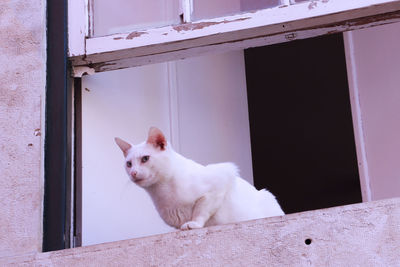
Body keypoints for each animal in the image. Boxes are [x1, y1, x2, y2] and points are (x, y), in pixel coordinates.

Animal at [115, 127, 284, 230]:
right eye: (129, 164)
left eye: (145, 159)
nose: (133, 173)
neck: (162, 192)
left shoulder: (221, 180)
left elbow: (200, 210)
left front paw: (193, 224)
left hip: (266, 195)